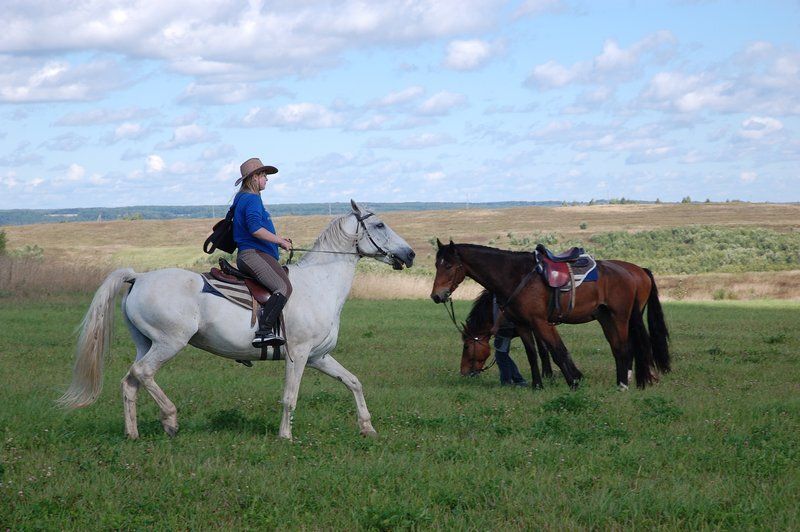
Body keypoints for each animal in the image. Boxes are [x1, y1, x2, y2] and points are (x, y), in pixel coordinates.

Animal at [59, 200, 416, 440]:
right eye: (380, 225)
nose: (410, 254)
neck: (320, 283)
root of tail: (140, 277)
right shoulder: (299, 355)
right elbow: (290, 396)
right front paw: (285, 436)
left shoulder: (319, 356)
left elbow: (353, 382)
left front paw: (367, 427)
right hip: (169, 342)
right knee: (143, 373)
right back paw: (170, 420)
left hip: (146, 343)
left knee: (130, 381)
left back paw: (132, 434)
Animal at [432, 239, 668, 388]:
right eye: (436, 265)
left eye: (449, 266)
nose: (436, 295)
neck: (515, 277)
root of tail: (636, 272)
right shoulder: (523, 325)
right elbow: (533, 354)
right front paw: (537, 385)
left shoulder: (541, 323)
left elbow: (557, 351)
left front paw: (574, 381)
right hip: (605, 318)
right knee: (618, 348)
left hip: (621, 317)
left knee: (627, 347)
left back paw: (625, 384)